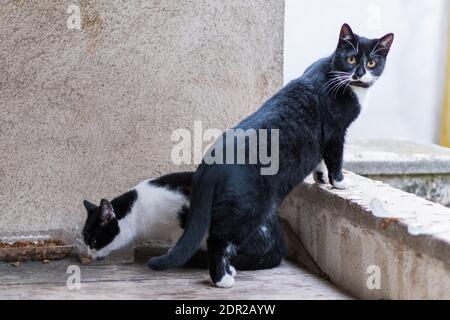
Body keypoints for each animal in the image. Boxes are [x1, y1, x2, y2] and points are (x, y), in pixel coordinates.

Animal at [149, 23, 394, 286]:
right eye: (351, 59)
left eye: (372, 62)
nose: (359, 73)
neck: (335, 74)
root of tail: (208, 164)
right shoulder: (335, 132)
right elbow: (335, 158)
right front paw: (339, 182)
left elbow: (320, 160)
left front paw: (320, 179)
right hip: (247, 208)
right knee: (218, 239)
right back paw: (222, 279)